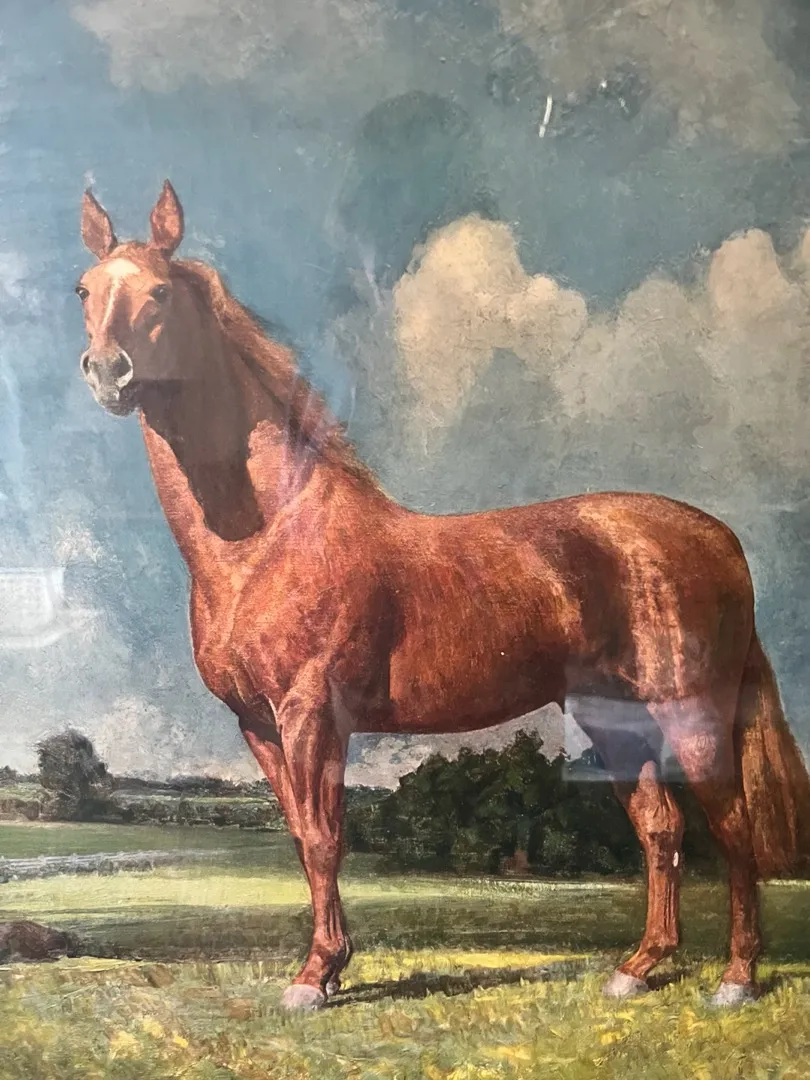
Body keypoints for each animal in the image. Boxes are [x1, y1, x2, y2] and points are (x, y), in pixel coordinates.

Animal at [75, 180, 810, 1011]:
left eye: (160, 291)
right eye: (86, 290)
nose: (107, 371)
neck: (270, 537)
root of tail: (720, 537)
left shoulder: (309, 714)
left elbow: (325, 838)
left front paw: (314, 977)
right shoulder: (257, 725)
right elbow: (302, 836)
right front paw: (330, 966)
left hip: (690, 711)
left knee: (735, 829)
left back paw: (737, 979)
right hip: (614, 718)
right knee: (662, 828)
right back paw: (637, 968)